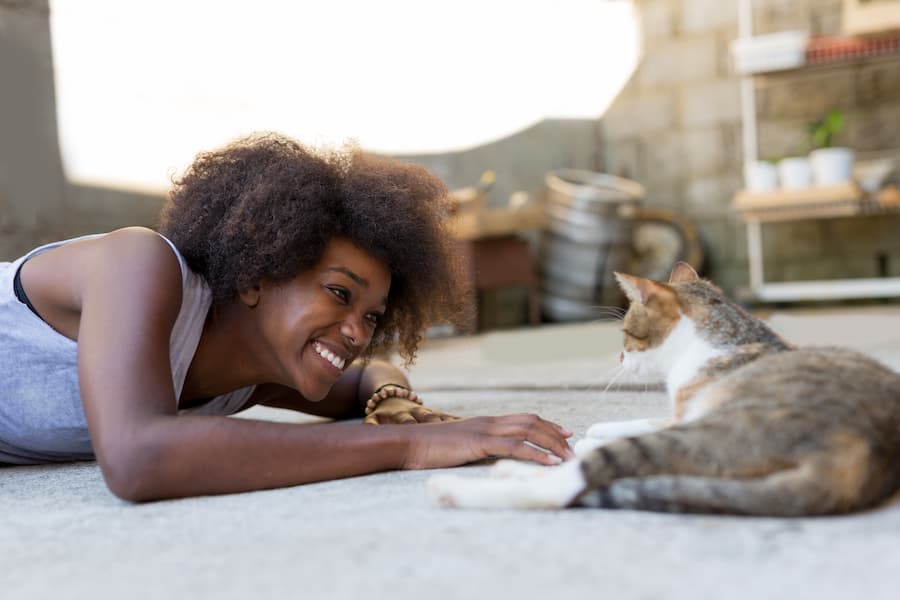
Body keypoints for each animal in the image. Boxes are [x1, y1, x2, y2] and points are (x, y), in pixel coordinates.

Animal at [428, 262, 900, 516]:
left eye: (626, 333)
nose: (619, 358)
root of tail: (867, 456)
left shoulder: (686, 414)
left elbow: (616, 434)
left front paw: (586, 438)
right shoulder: (680, 411)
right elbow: (630, 421)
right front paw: (593, 430)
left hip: (722, 432)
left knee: (574, 482)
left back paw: (465, 487)